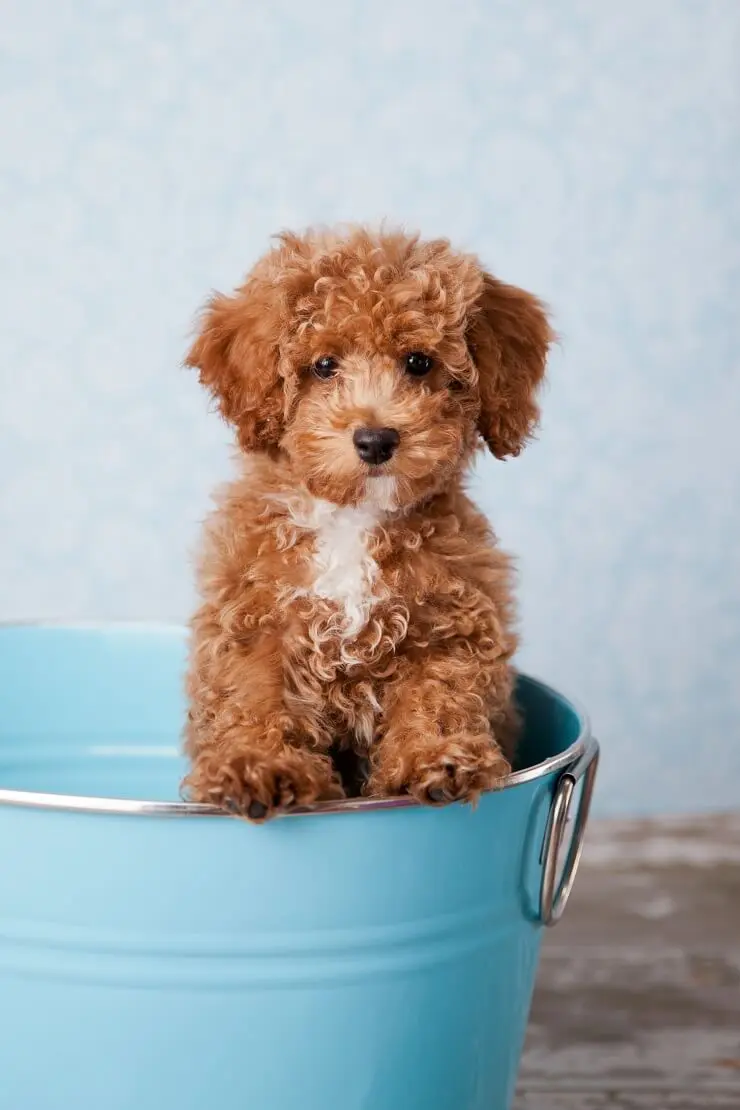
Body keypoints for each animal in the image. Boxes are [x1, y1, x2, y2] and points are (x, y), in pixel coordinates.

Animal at [183, 225, 550, 821]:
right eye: (324, 366)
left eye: (419, 362)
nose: (375, 439)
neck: (352, 519)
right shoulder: (255, 622)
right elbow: (254, 697)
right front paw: (257, 766)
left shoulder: (448, 622)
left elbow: (440, 692)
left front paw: (437, 758)